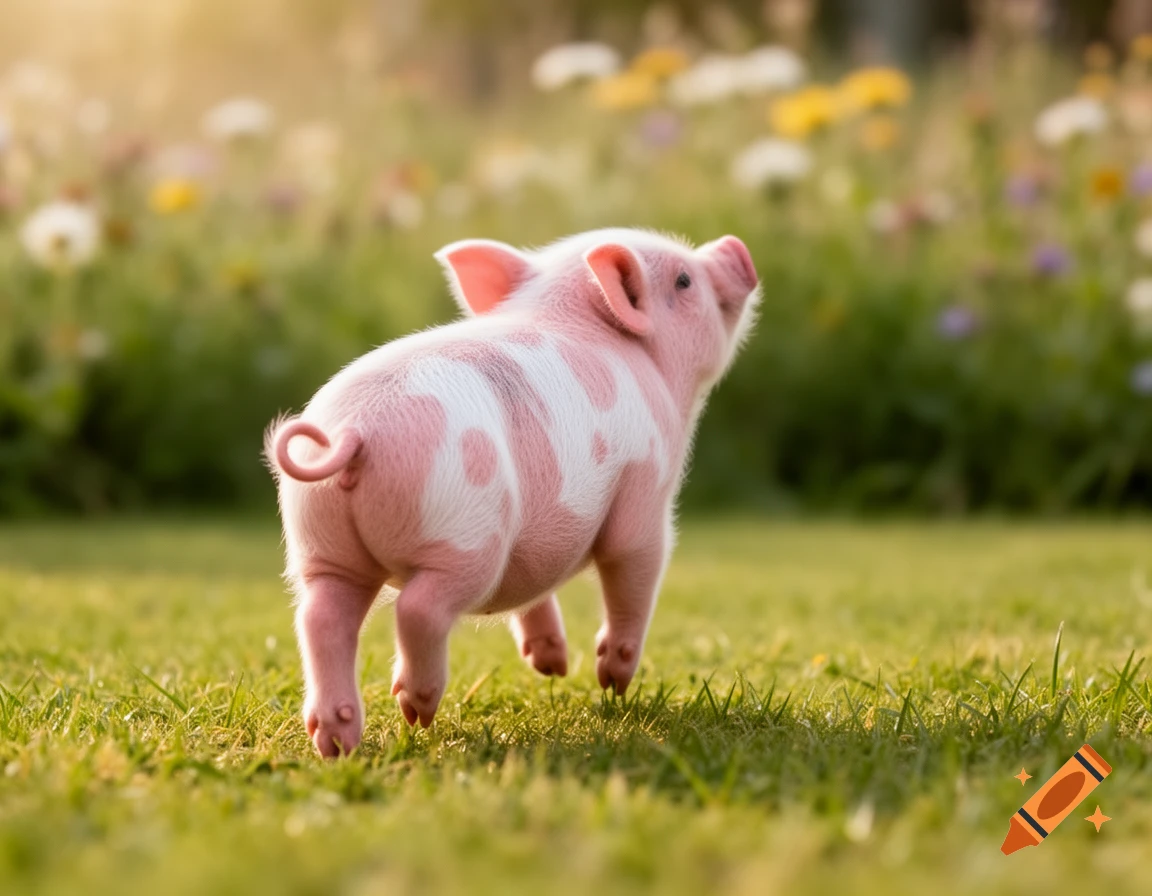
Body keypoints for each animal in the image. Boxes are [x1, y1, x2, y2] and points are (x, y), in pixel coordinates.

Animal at [266, 227, 759, 757]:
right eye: (684, 280)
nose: (735, 246)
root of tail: (354, 433)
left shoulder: (536, 546)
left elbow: (534, 588)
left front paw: (553, 667)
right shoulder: (647, 483)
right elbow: (634, 564)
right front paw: (613, 682)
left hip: (318, 541)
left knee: (319, 618)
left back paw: (337, 742)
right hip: (466, 534)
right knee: (417, 608)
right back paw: (416, 710)